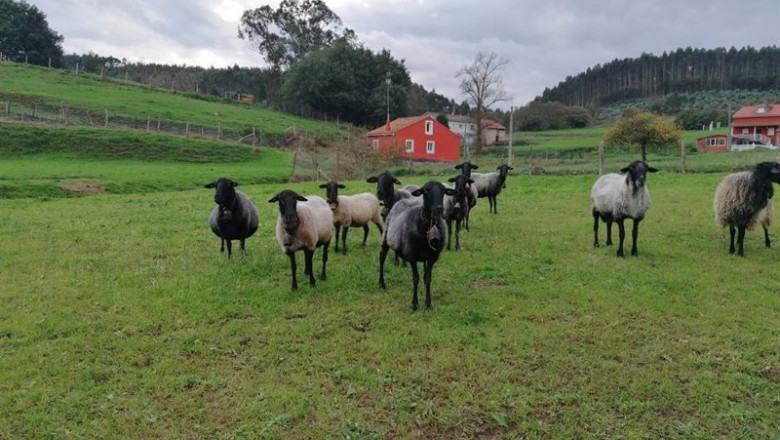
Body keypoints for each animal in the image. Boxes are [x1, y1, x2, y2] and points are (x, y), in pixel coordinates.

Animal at [379, 181, 455, 310]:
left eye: (444, 191)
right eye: (426, 190)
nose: (439, 209)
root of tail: (402, 201)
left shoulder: (432, 257)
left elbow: (427, 278)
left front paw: (428, 303)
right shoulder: (412, 257)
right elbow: (415, 279)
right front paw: (414, 304)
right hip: (386, 236)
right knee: (382, 257)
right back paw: (381, 283)